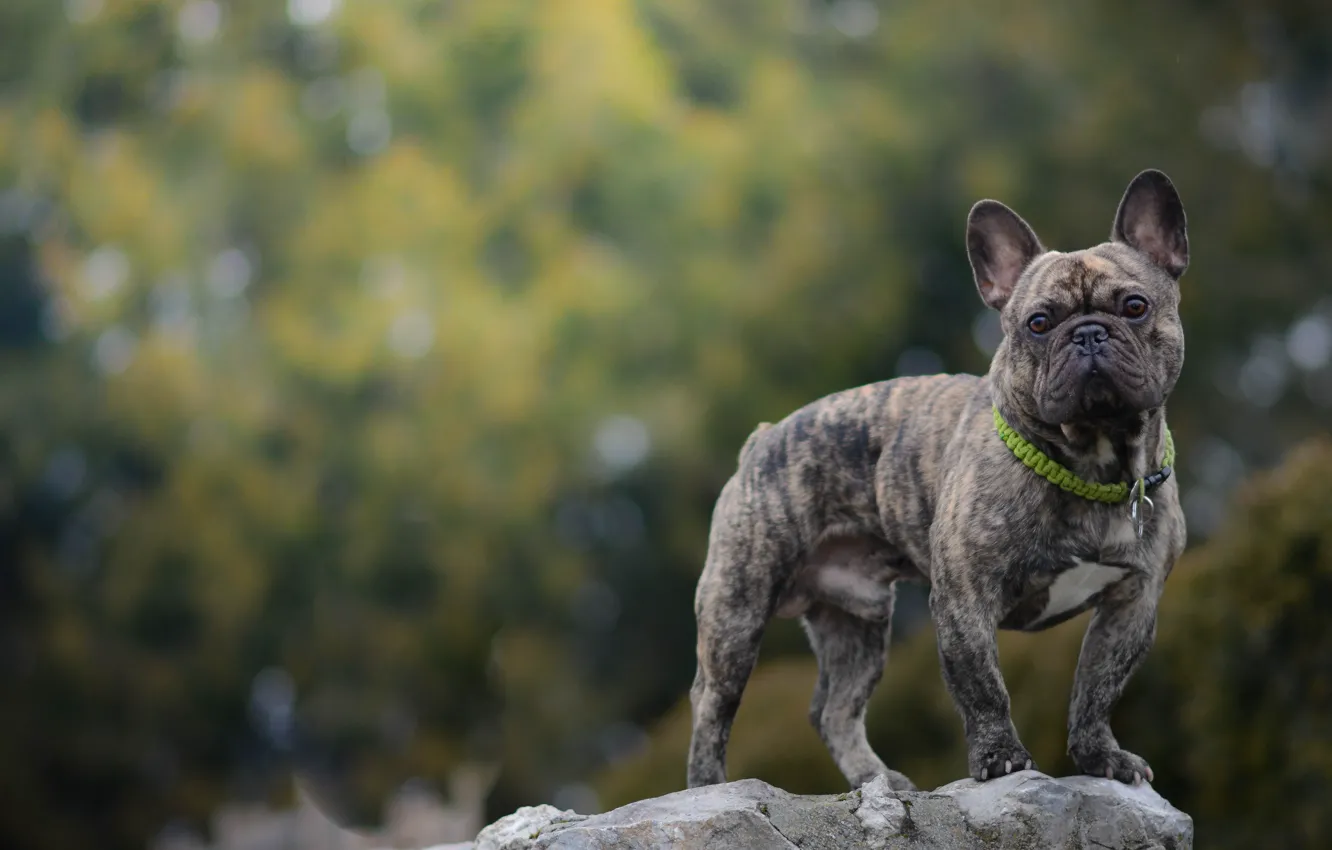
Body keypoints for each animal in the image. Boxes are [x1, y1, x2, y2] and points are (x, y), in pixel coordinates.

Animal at [687, 169, 1188, 794]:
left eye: (1136, 306)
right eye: (1039, 323)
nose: (1089, 333)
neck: (1094, 464)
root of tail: (761, 438)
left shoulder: (1132, 604)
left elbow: (1096, 689)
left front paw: (1101, 757)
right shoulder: (964, 598)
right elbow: (983, 686)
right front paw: (1001, 759)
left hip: (857, 623)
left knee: (834, 710)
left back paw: (877, 781)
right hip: (738, 607)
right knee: (713, 702)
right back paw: (709, 788)